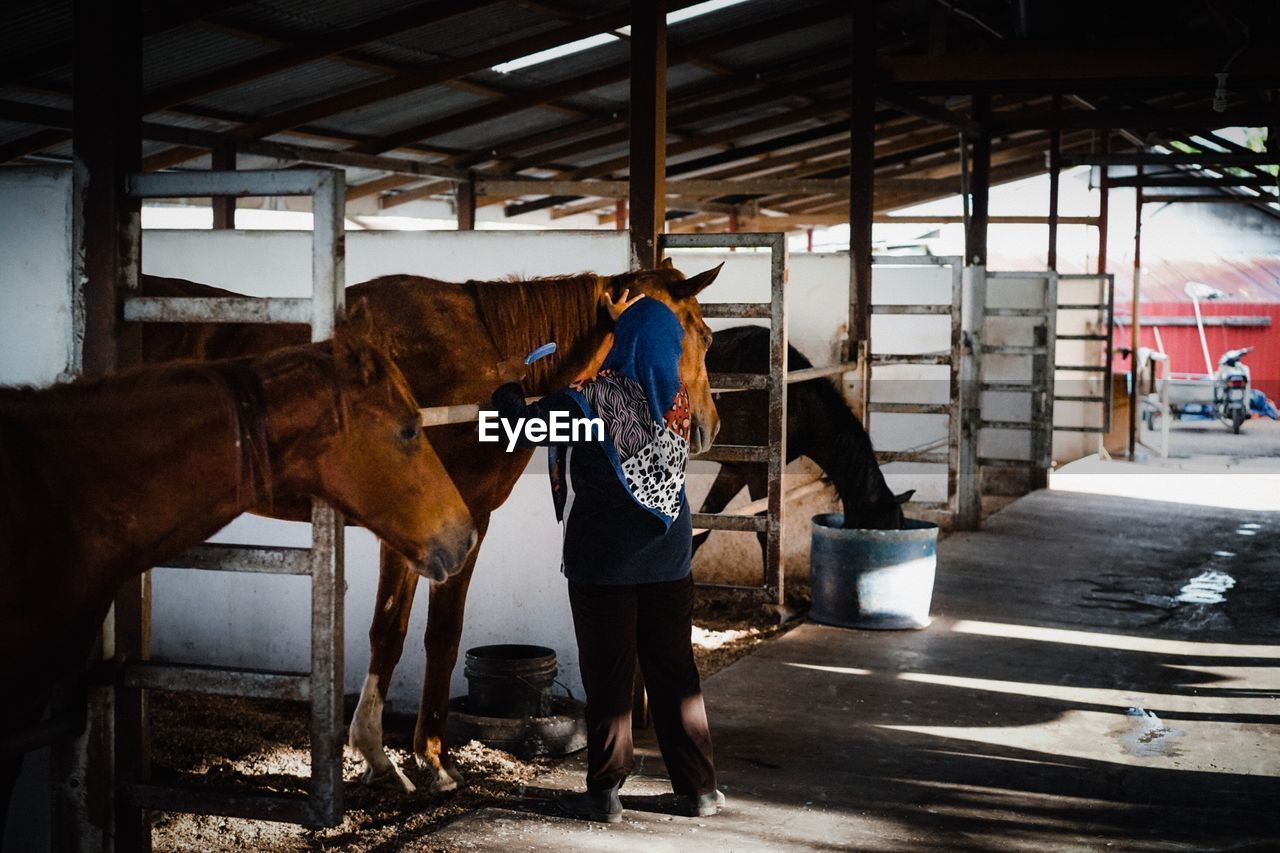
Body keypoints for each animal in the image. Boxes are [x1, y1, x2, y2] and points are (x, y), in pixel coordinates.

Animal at [140, 261, 727, 788]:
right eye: (702, 335)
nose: (706, 426)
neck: (479, 362)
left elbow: (426, 635)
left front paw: (410, 756)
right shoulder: (432, 528)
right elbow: (410, 634)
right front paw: (407, 758)